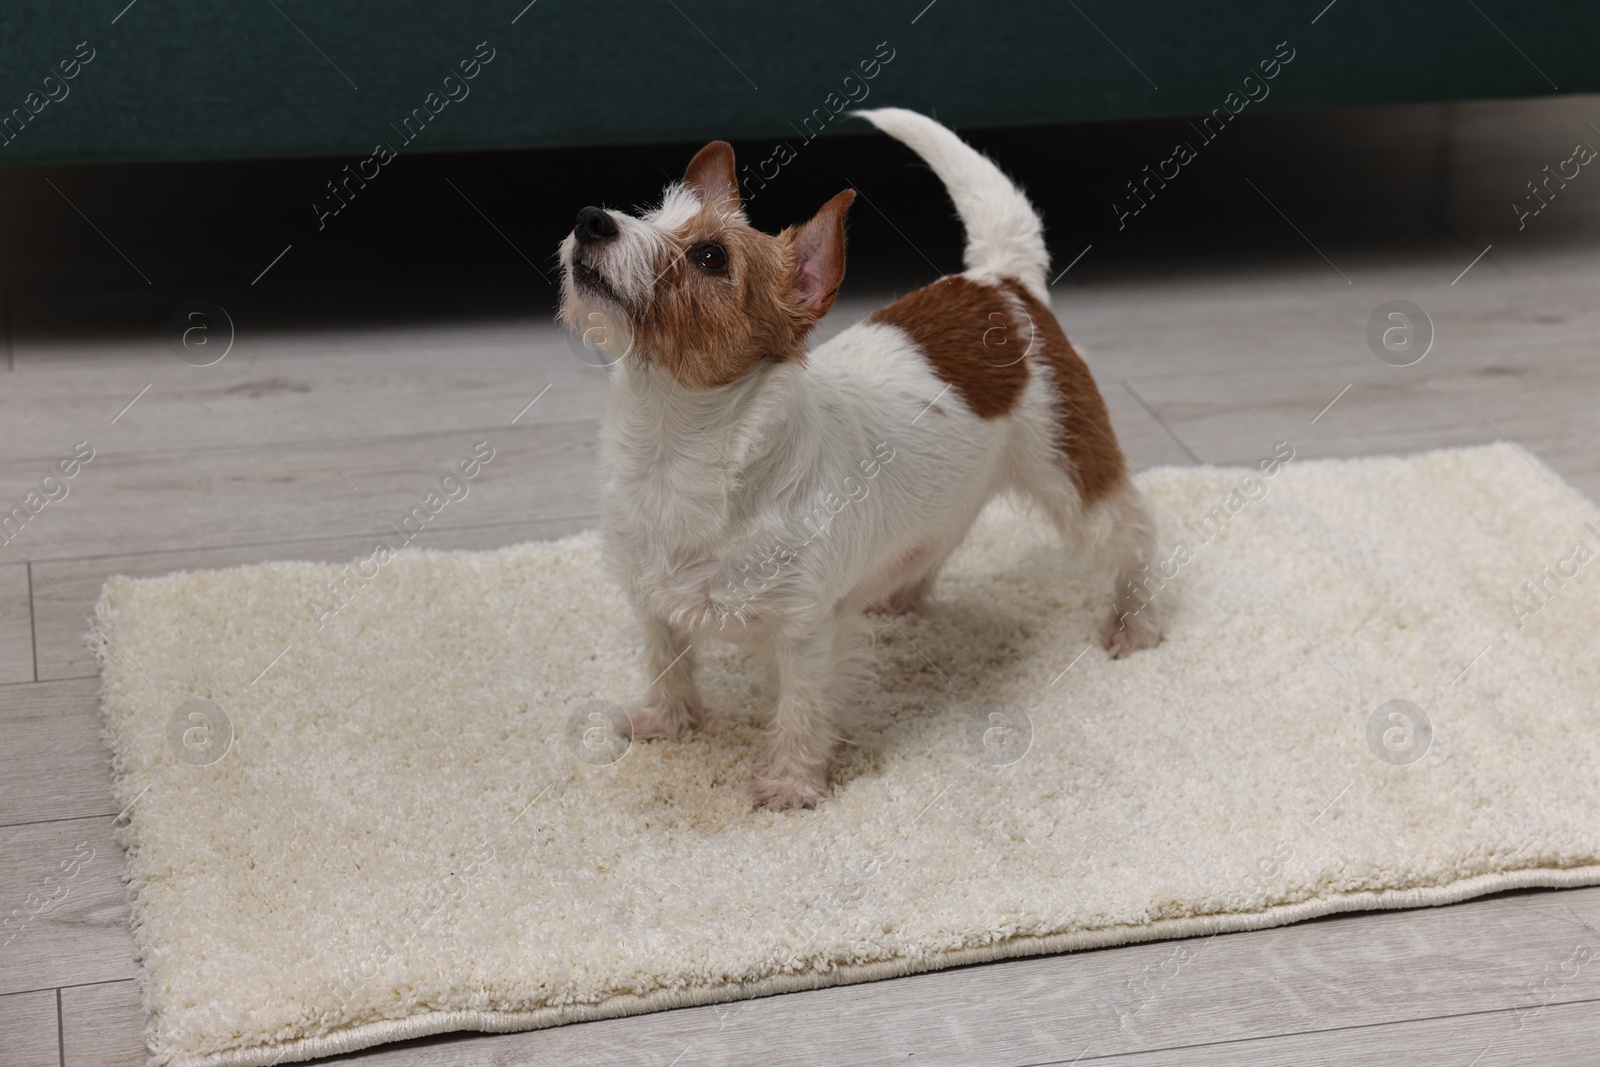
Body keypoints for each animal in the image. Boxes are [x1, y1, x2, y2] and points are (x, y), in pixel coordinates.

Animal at [556, 106, 1158, 809]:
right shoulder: (650, 599)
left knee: (1134, 535)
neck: (676, 447)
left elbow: (800, 710)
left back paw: (1136, 623)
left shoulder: (806, 633)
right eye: (649, 210)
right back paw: (901, 590)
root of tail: (1001, 282)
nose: (591, 218)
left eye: (710, 256)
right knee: (947, 531)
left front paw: (790, 785)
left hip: (1072, 474)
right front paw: (667, 721)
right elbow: (665, 660)